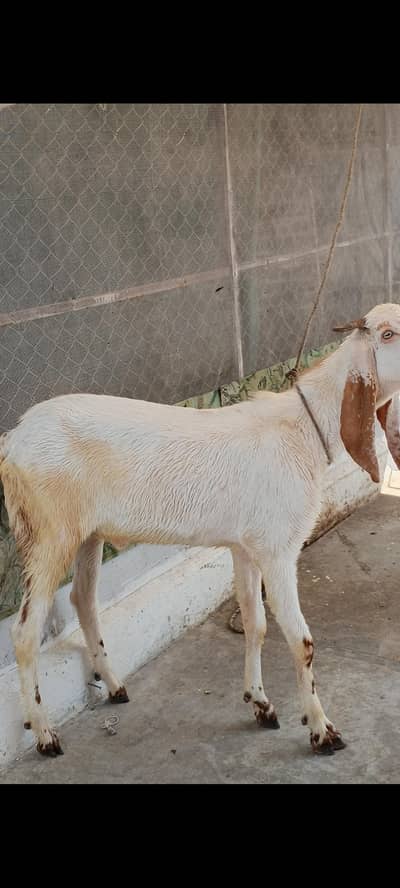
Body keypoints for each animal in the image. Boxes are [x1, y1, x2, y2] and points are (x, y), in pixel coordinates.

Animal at [2, 302, 400, 759]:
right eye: (388, 334)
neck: (304, 429)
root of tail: (13, 440)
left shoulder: (246, 547)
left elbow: (256, 624)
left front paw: (260, 703)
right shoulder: (278, 549)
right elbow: (301, 640)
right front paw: (322, 731)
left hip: (88, 534)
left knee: (82, 598)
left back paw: (115, 686)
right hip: (49, 534)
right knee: (25, 631)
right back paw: (44, 733)